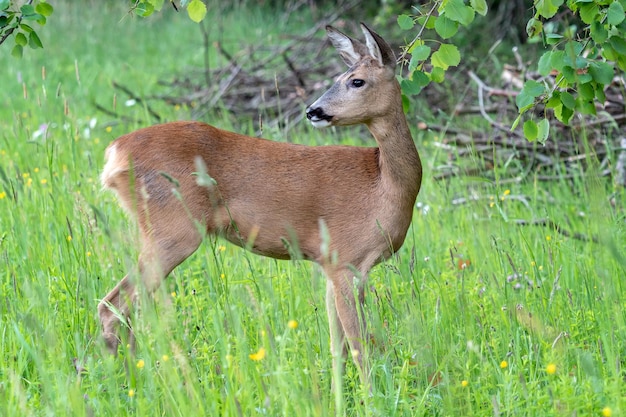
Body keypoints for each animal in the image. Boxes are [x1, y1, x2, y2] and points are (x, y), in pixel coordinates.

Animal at [98, 22, 420, 380]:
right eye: (343, 77)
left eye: (356, 80)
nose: (313, 111)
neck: (384, 186)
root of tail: (115, 152)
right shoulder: (345, 259)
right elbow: (360, 346)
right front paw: (371, 391)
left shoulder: (331, 267)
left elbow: (337, 347)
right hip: (174, 230)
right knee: (112, 306)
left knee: (125, 309)